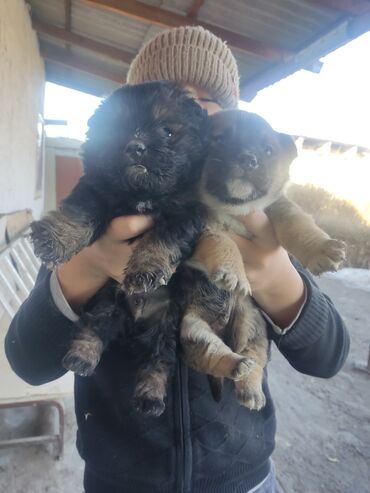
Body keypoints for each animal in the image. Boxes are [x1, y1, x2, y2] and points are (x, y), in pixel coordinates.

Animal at [30, 83, 210, 416]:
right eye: (116, 128)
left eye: (167, 131)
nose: (135, 146)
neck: (140, 193)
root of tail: (134, 321)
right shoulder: (96, 189)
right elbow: (81, 211)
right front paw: (55, 238)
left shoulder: (185, 214)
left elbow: (162, 239)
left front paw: (145, 269)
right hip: (106, 302)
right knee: (94, 327)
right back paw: (82, 355)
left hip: (166, 326)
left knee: (159, 359)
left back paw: (150, 395)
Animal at [181, 109, 346, 410]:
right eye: (219, 139)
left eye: (267, 150)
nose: (248, 158)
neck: (233, 210)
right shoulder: (200, 228)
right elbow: (223, 242)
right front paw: (233, 273)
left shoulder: (279, 208)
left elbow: (297, 224)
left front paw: (323, 249)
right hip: (192, 327)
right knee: (208, 352)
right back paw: (234, 365)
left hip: (253, 328)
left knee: (254, 361)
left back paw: (251, 388)